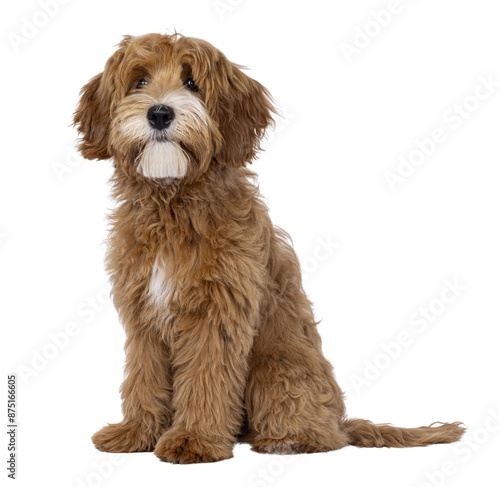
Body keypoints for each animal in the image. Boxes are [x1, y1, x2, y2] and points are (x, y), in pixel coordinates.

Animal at [74, 32, 464, 464]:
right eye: (139, 81)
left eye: (192, 83)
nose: (159, 113)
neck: (174, 203)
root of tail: (339, 420)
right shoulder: (143, 313)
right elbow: (144, 375)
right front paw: (138, 432)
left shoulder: (217, 313)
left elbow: (206, 377)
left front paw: (194, 440)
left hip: (277, 369)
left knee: (321, 433)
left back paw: (289, 439)